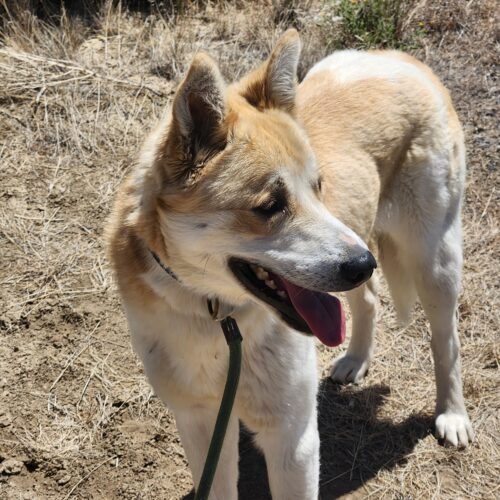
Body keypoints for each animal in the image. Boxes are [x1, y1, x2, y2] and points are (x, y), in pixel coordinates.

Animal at [105, 29, 472, 498]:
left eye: (318, 187)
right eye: (270, 206)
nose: (364, 263)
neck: (218, 319)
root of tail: (398, 57)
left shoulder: (292, 437)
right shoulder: (201, 425)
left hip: (430, 258)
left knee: (446, 340)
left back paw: (452, 415)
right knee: (369, 299)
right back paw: (355, 358)